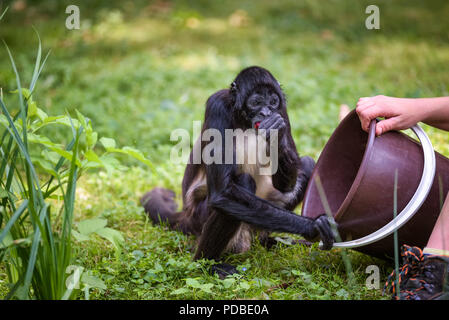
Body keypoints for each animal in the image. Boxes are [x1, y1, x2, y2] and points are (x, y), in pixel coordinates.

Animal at [142, 65, 334, 278]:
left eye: (273, 102)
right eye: (256, 102)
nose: (266, 112)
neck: (244, 121)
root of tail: (186, 214)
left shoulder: (282, 112)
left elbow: (286, 183)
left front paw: (277, 133)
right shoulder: (217, 105)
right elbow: (222, 194)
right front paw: (313, 226)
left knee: (307, 163)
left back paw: (268, 241)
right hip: (199, 216)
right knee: (242, 183)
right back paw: (207, 264)